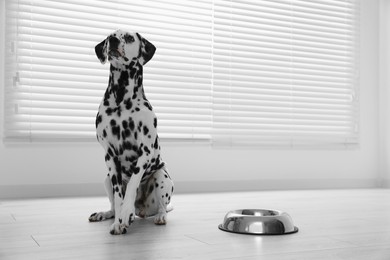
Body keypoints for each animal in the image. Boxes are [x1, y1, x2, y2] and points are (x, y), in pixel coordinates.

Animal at [89, 29, 174, 235]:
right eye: (109, 36)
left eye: (129, 38)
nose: (112, 41)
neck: (121, 100)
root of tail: (142, 210)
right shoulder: (110, 157)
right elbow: (119, 196)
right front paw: (119, 221)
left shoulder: (145, 152)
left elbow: (132, 186)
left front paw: (126, 213)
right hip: (106, 179)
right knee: (113, 206)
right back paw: (105, 214)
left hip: (162, 177)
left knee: (162, 206)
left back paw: (159, 216)